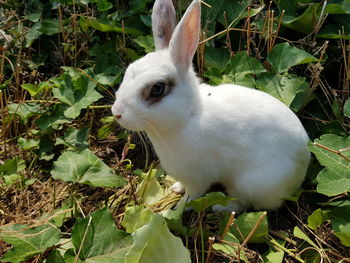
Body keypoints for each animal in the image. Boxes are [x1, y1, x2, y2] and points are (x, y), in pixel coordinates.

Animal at [111, 0, 308, 212]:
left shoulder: (198, 179)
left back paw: (220, 208)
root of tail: (304, 162)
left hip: (249, 184)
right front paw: (175, 187)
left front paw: (175, 210)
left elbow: (191, 198)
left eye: (157, 89)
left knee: (241, 203)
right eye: (129, 70)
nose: (117, 113)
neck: (187, 118)